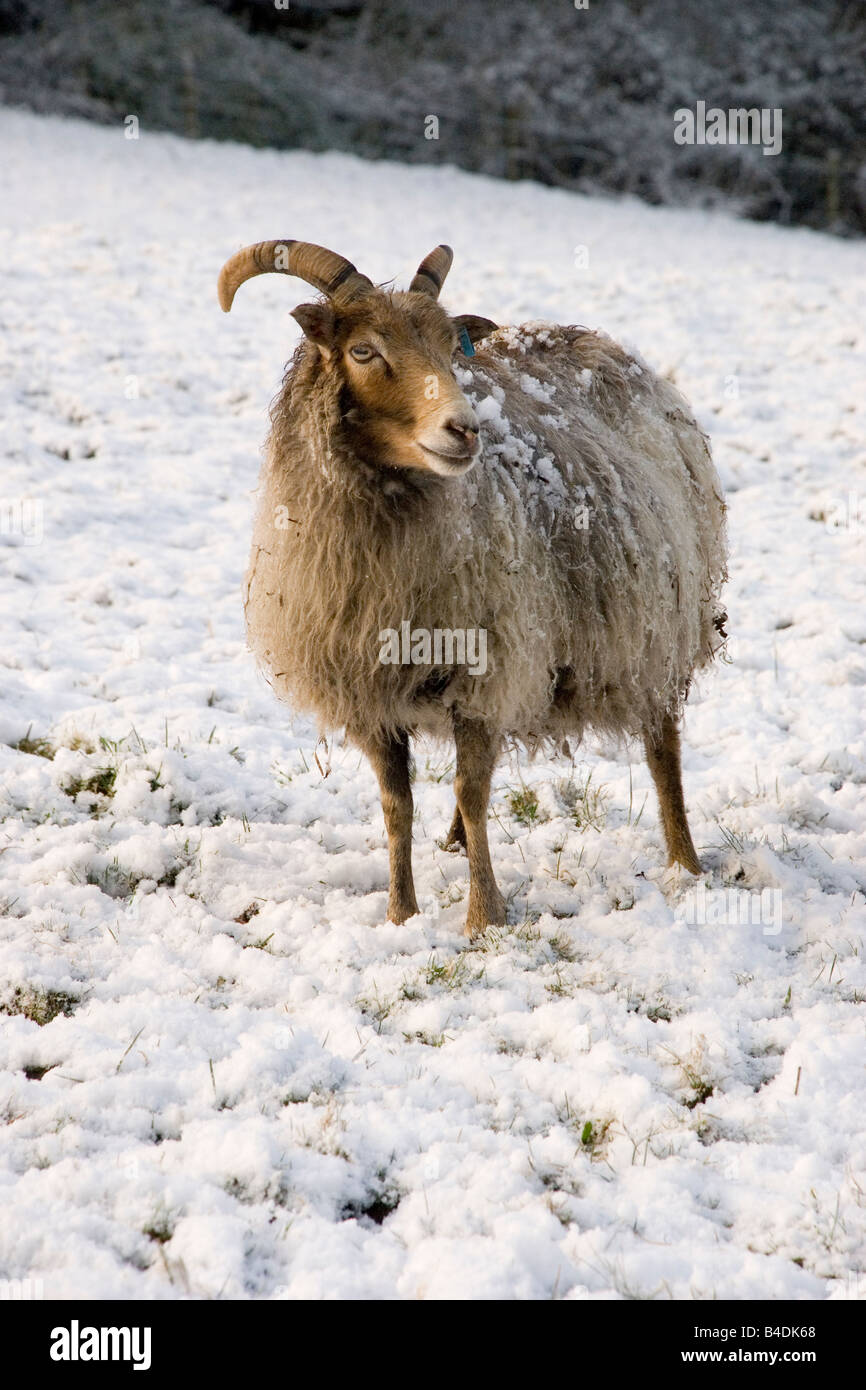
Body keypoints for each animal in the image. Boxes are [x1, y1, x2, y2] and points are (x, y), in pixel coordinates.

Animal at [217, 239, 728, 937]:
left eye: (450, 349)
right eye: (362, 351)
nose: (464, 430)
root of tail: (603, 342)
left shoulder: (486, 667)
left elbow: (472, 789)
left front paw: (484, 916)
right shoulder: (368, 690)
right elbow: (396, 804)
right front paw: (402, 914)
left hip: (656, 625)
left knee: (661, 746)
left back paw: (684, 862)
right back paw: (456, 842)